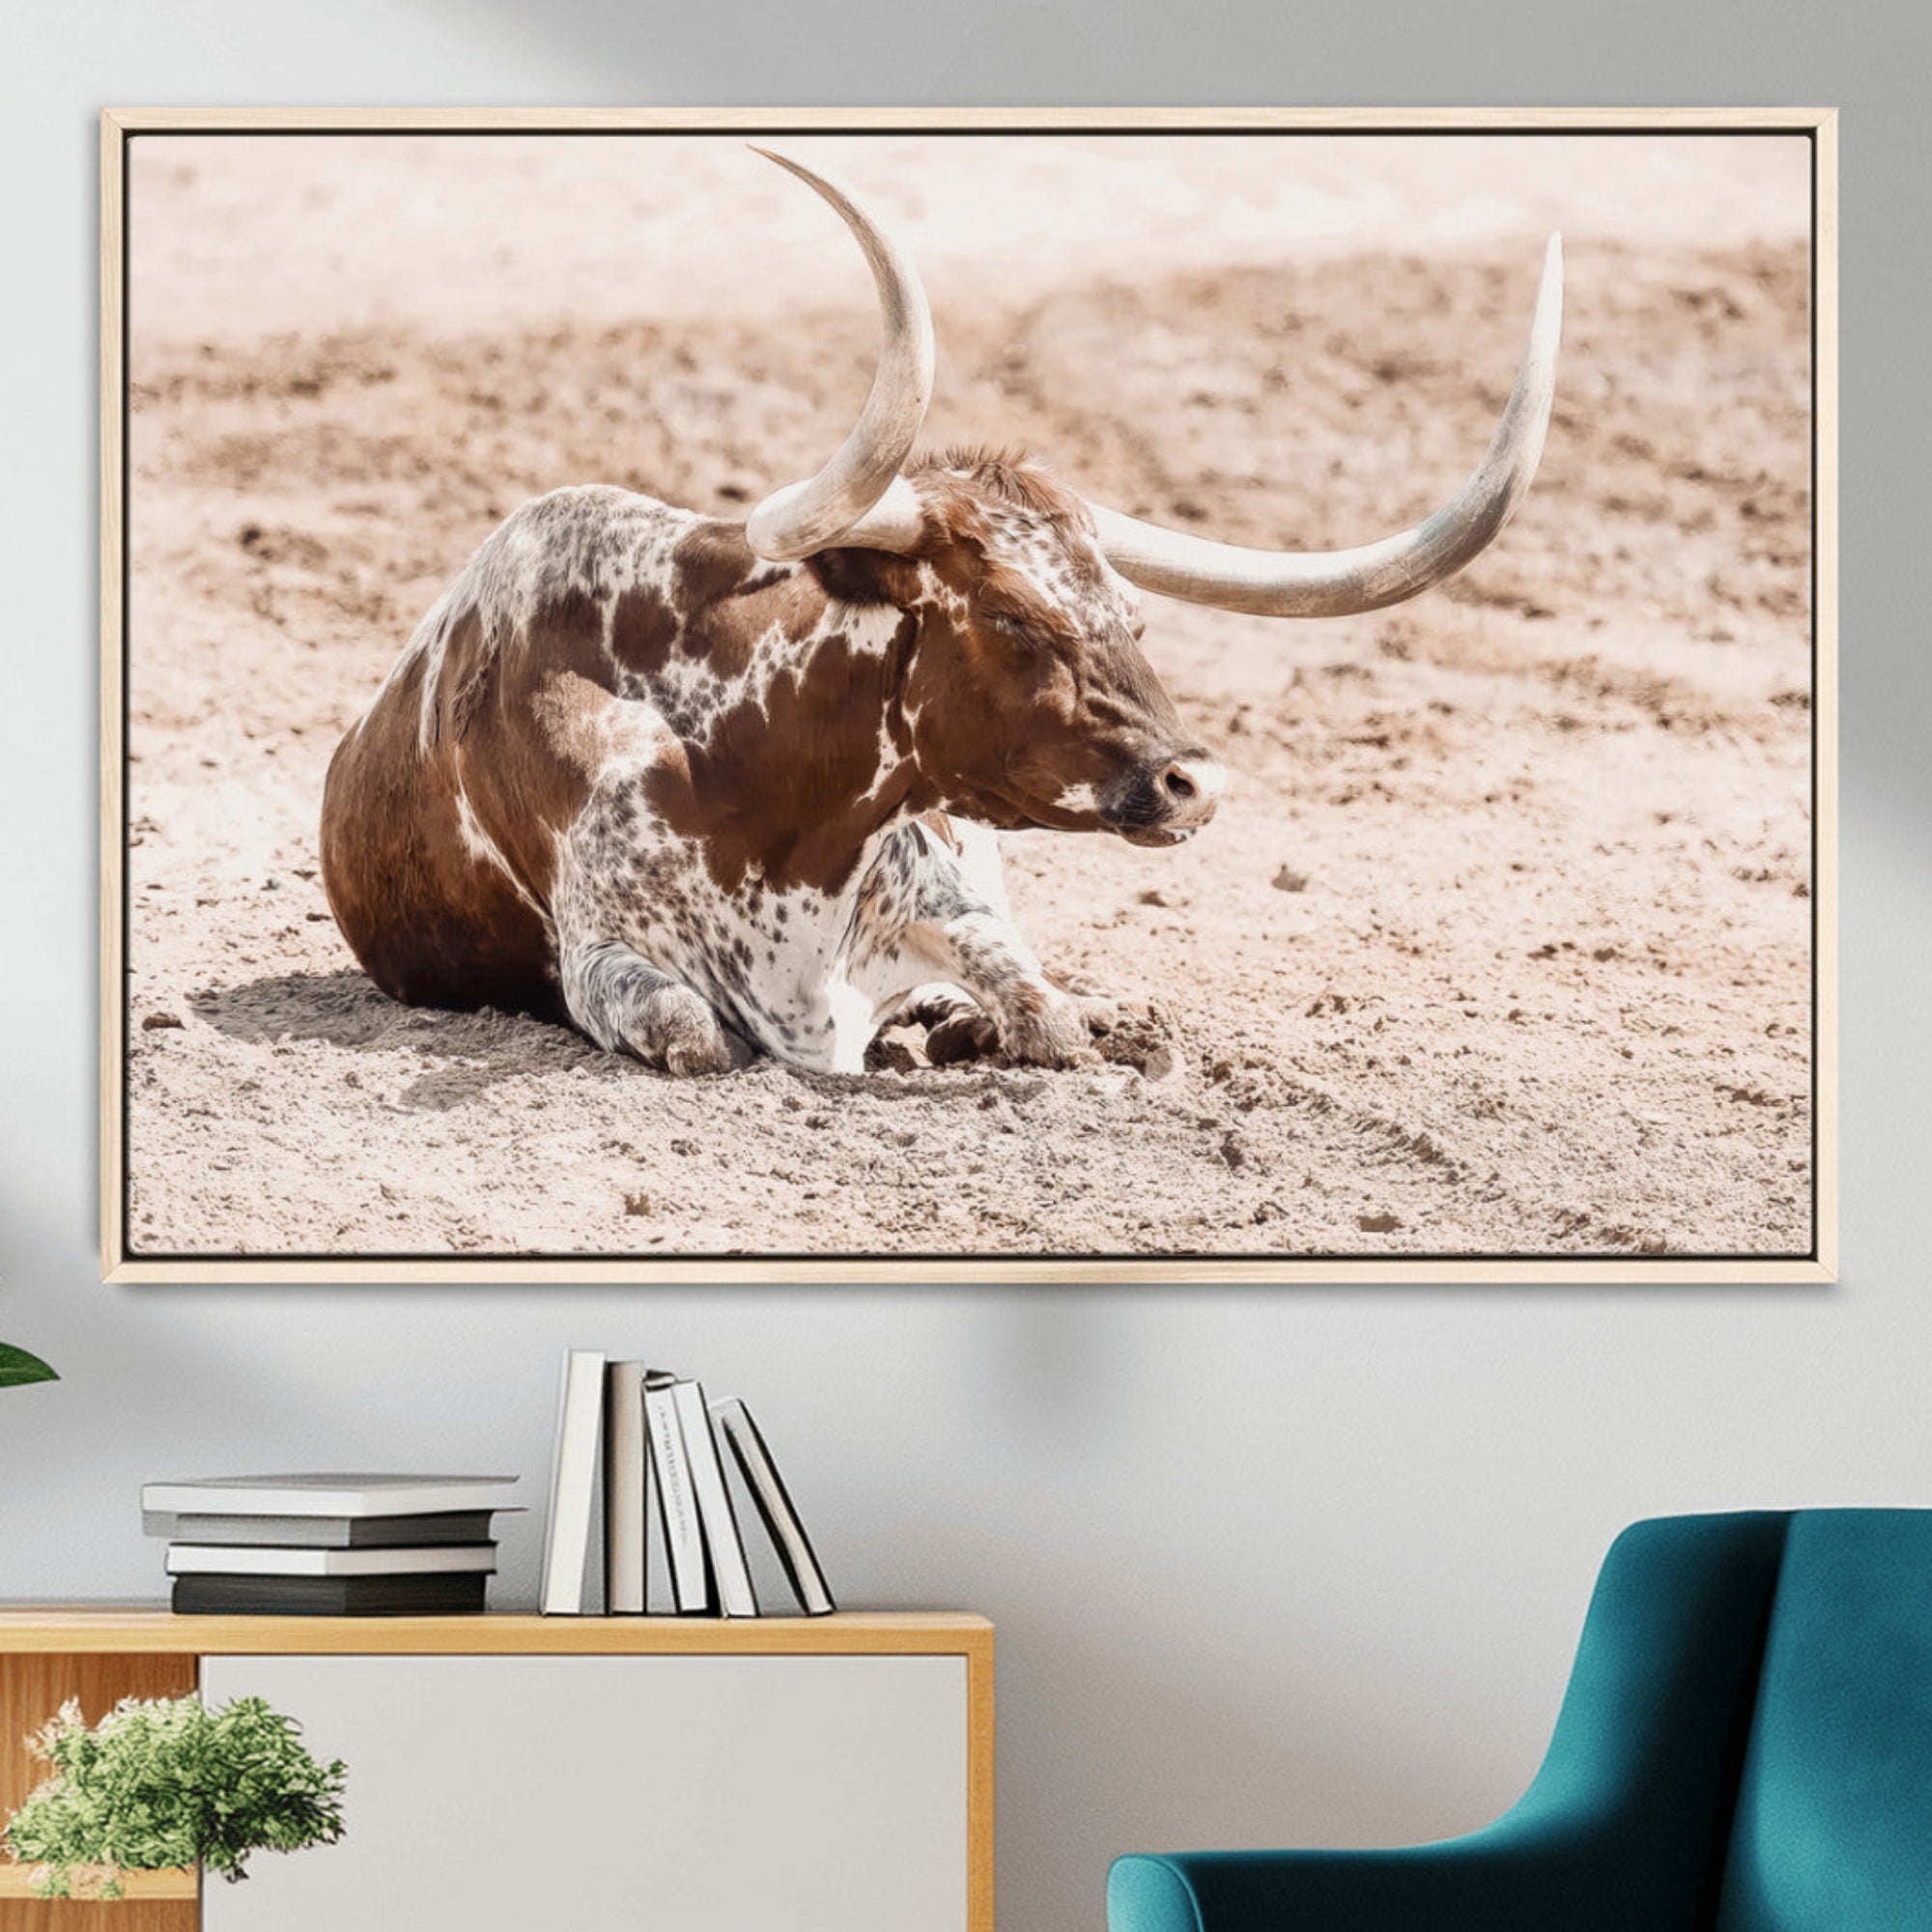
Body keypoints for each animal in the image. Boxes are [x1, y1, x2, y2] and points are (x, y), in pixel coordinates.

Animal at [321, 149, 1562, 1077]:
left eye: (1132, 615)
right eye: (1011, 617)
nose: (1192, 782)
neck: (761, 787)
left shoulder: (950, 894)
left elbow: (1046, 1010)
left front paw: (1015, 1024)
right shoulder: (606, 961)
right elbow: (698, 1035)